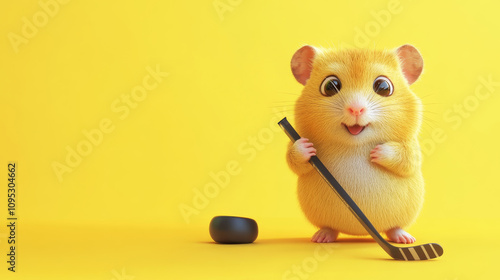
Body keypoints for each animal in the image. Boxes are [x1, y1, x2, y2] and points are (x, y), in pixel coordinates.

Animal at [288, 44, 424, 244]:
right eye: (330, 86)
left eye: (384, 87)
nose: (356, 109)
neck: (355, 145)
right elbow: (294, 160)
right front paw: (306, 146)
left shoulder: (411, 146)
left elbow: (407, 160)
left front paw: (376, 152)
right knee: (330, 228)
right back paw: (322, 236)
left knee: (394, 228)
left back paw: (404, 238)